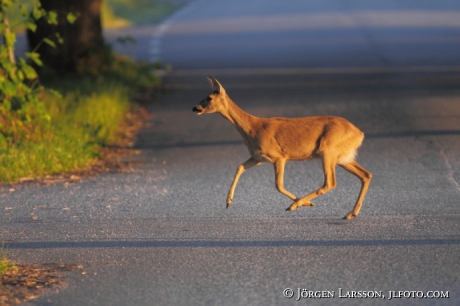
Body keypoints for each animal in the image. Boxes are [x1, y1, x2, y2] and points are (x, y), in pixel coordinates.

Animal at [192, 76, 372, 220]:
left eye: (209, 97)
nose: (195, 108)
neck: (252, 129)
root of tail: (360, 133)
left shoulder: (279, 156)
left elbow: (278, 185)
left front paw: (304, 204)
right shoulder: (259, 157)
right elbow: (240, 167)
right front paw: (228, 202)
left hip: (327, 150)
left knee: (330, 182)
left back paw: (297, 205)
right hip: (343, 156)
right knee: (365, 175)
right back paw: (351, 213)